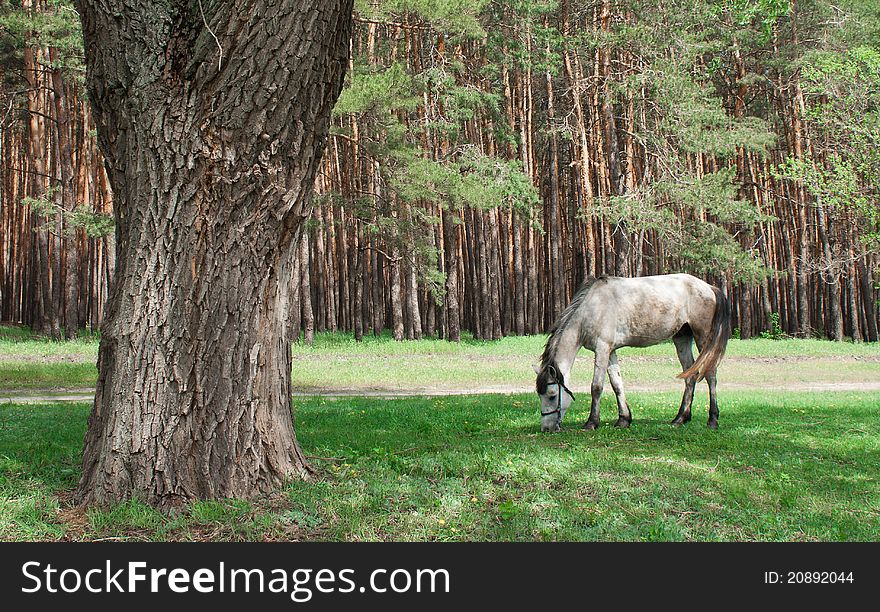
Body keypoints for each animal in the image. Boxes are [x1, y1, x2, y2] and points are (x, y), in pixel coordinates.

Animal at [536, 274, 728, 432]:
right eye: (539, 395)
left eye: (552, 396)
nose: (547, 428)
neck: (593, 308)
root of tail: (709, 287)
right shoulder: (610, 351)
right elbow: (617, 384)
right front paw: (624, 419)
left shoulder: (602, 348)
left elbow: (596, 387)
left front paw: (592, 422)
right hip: (682, 337)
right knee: (690, 374)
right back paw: (680, 418)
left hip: (703, 337)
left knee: (710, 375)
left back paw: (712, 419)